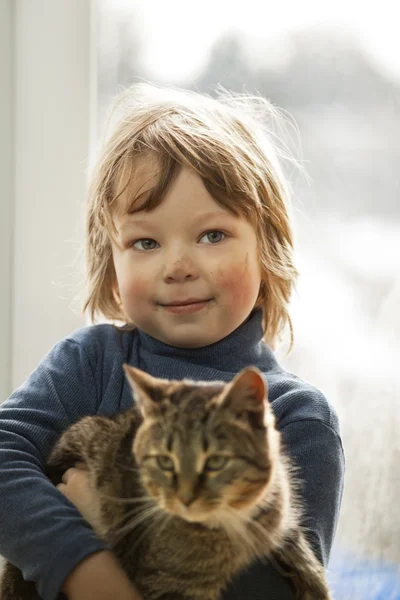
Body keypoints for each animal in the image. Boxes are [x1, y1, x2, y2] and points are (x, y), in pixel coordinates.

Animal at [0, 366, 332, 600]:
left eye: (215, 462)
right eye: (164, 461)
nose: (184, 497)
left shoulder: (280, 518)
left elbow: (302, 553)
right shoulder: (169, 583)